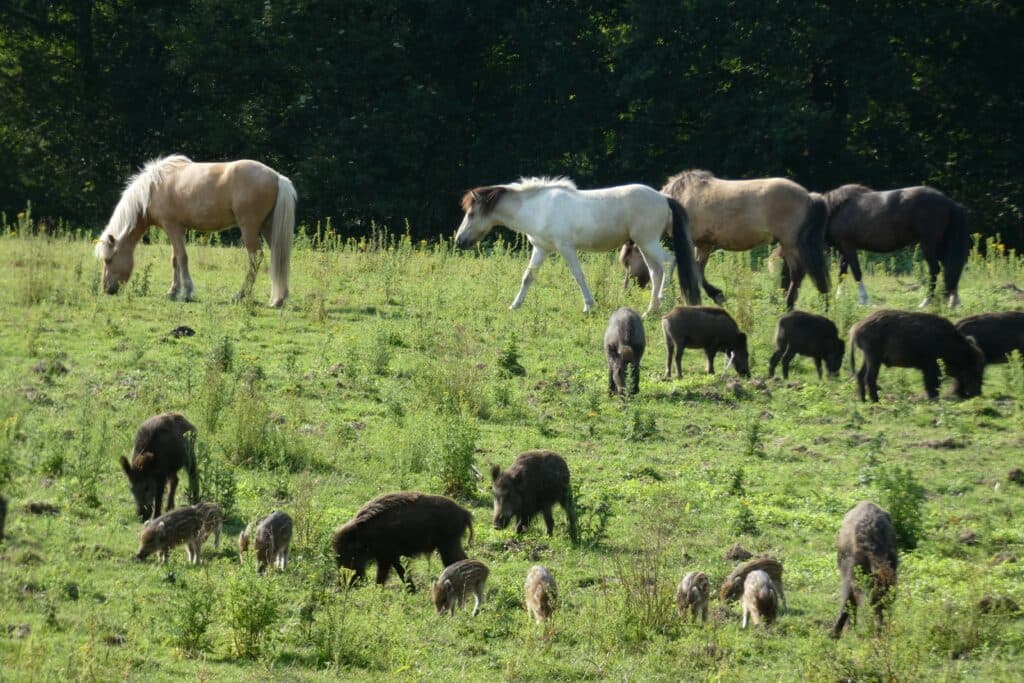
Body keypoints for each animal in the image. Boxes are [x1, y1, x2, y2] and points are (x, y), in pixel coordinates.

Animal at [94, 155, 297, 307]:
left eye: (108, 259)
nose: (106, 289)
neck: (152, 188)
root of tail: (277, 177)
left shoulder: (172, 227)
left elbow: (182, 258)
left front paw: (187, 292)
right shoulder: (177, 230)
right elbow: (175, 259)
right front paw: (172, 292)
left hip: (250, 228)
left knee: (256, 258)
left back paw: (240, 295)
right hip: (268, 228)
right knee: (279, 256)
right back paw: (279, 298)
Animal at [453, 177, 702, 314]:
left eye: (471, 213)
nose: (459, 241)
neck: (538, 208)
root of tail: (663, 198)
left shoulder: (566, 248)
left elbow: (578, 275)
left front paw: (589, 305)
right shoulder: (541, 249)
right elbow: (528, 277)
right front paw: (514, 306)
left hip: (647, 241)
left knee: (669, 262)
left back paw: (662, 301)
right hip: (643, 244)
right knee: (655, 271)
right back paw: (650, 310)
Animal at [661, 170, 830, 310]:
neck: (683, 196)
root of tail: (809, 196)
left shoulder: (699, 243)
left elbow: (695, 271)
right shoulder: (703, 245)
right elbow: (698, 270)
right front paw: (716, 295)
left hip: (790, 244)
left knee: (797, 273)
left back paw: (788, 306)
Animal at [820, 184, 969, 308]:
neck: (835, 210)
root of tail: (950, 203)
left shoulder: (848, 246)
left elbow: (856, 272)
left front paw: (863, 300)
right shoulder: (843, 249)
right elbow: (842, 272)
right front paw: (839, 297)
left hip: (929, 245)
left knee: (935, 269)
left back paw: (926, 302)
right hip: (940, 246)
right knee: (951, 268)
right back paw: (954, 302)